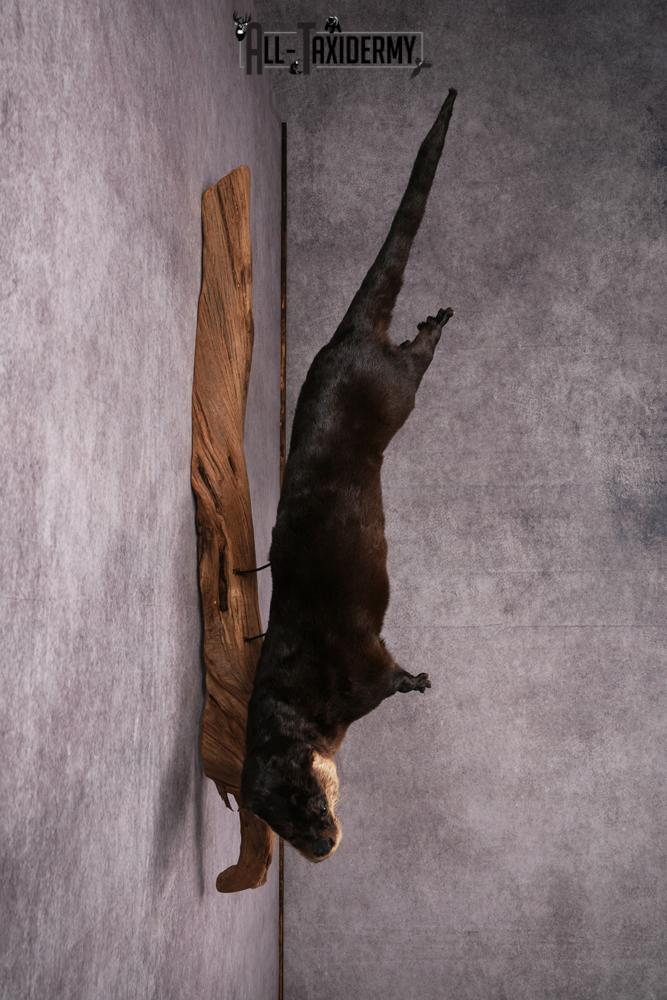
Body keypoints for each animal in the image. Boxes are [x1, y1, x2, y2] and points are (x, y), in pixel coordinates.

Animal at [241, 90, 458, 862]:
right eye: (284, 828)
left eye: (311, 804)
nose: (324, 846)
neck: (308, 702)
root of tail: (345, 341)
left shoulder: (361, 676)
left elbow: (393, 678)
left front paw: (420, 680)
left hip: (396, 389)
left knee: (415, 358)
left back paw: (436, 320)